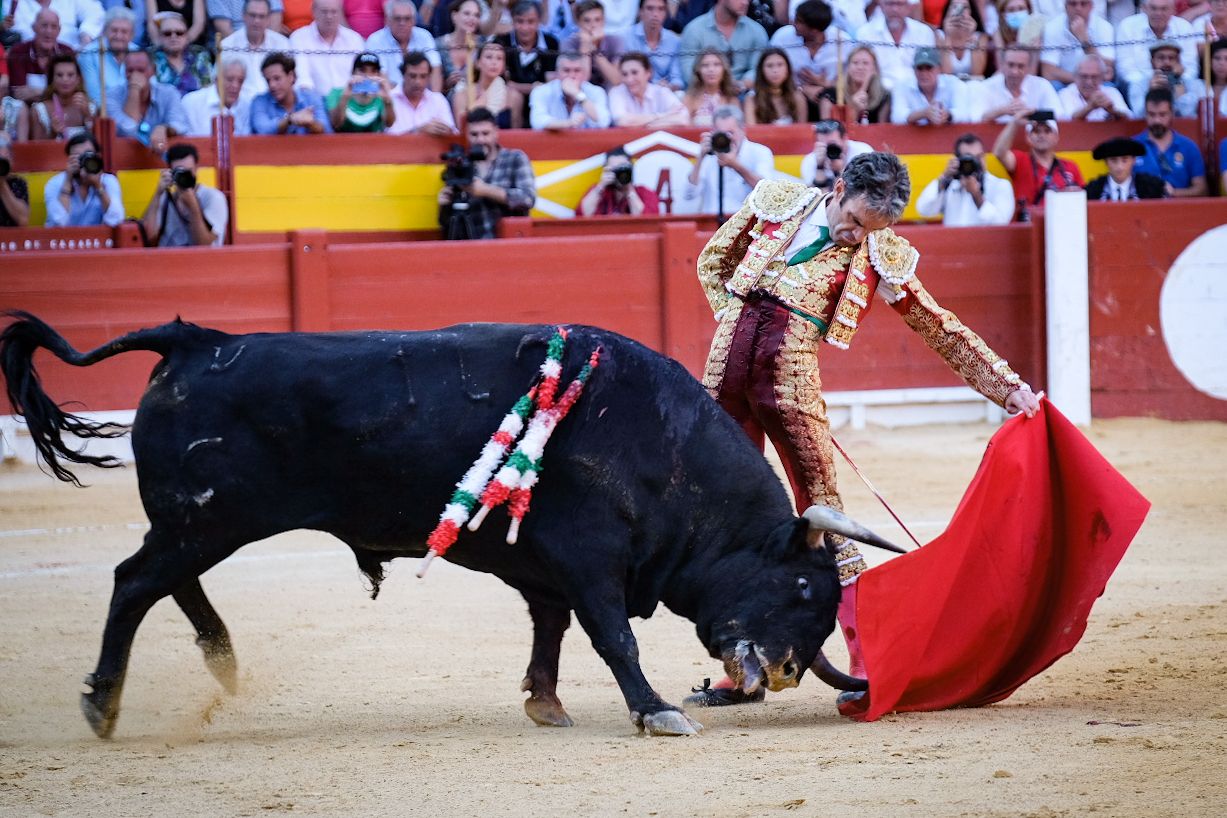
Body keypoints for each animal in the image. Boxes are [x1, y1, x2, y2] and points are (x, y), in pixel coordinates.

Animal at [0, 316, 893, 740]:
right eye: (803, 585)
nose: (784, 671)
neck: (659, 447)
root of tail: (193, 341)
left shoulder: (543, 568)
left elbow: (550, 629)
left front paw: (545, 705)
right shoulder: (590, 558)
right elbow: (612, 636)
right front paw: (655, 711)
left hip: (197, 522)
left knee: (164, 581)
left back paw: (220, 663)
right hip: (209, 520)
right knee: (134, 582)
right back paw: (104, 705)